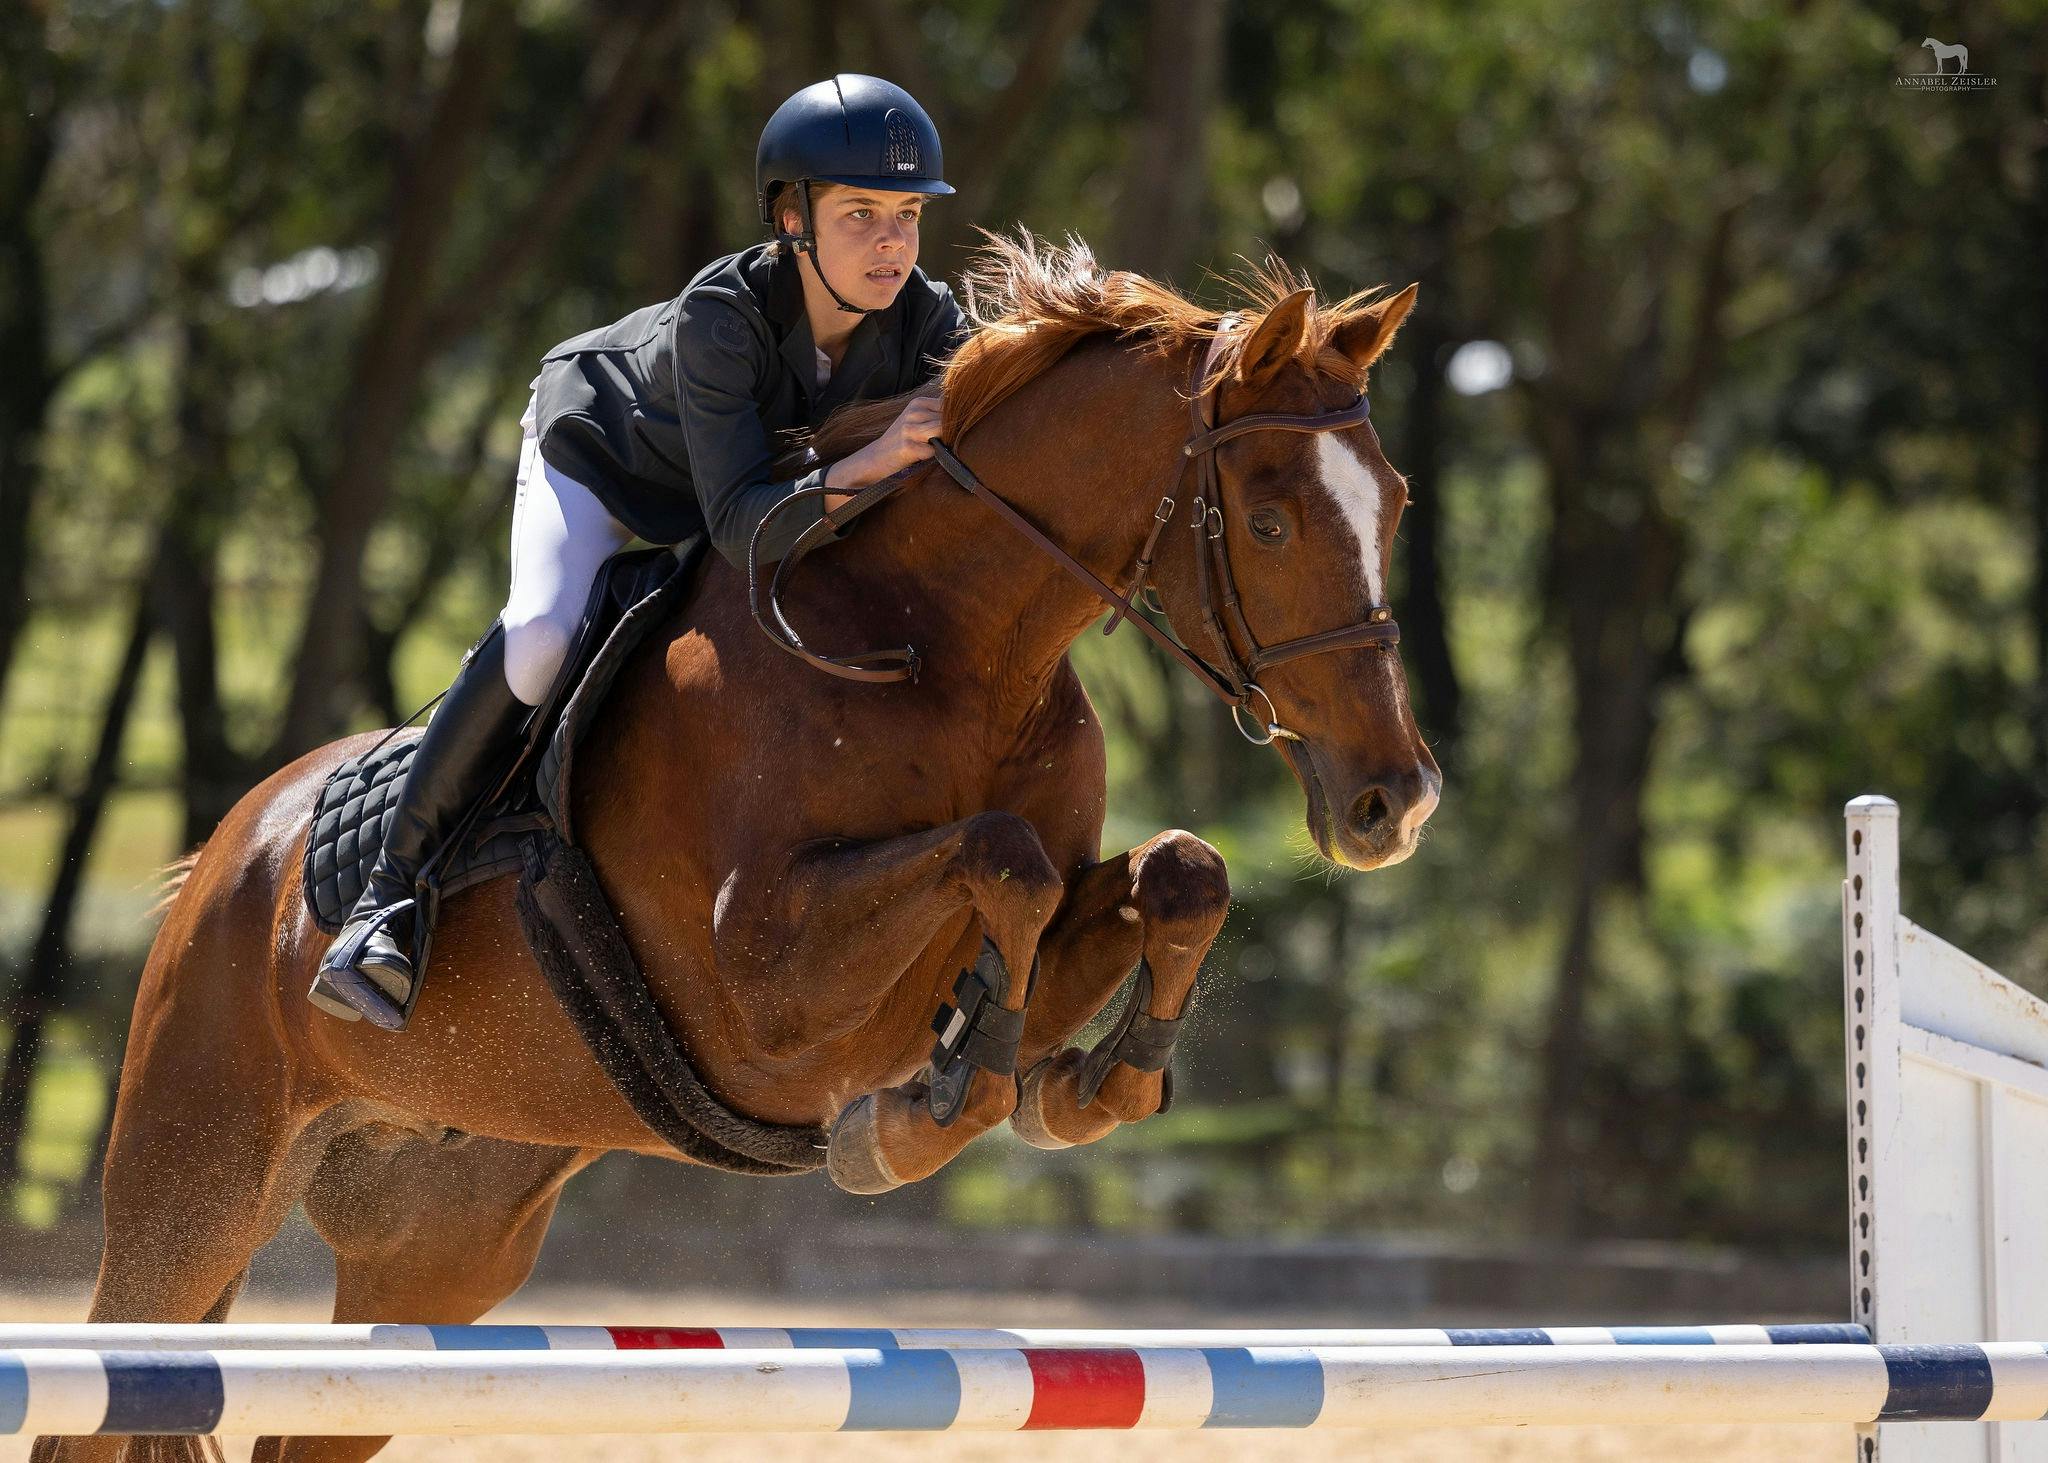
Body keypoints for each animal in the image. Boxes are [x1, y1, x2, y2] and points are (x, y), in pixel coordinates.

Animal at [36, 228, 1439, 1463]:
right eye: (1268, 521)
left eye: (1395, 503)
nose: (1394, 800)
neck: (939, 641)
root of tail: (228, 853)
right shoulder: (762, 985)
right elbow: (1004, 861)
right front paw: (931, 1111)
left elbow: (1173, 870)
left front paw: (1090, 1083)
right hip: (191, 1190)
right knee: (107, 1375)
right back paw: (371, 945)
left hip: (439, 1241)